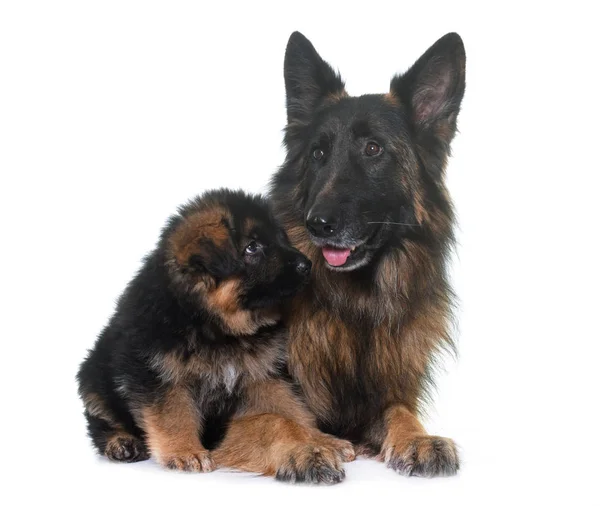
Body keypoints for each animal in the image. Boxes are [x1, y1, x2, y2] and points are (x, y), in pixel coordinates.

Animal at [77, 190, 354, 482]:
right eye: (252, 247)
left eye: (281, 238)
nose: (307, 265)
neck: (215, 326)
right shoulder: (156, 375)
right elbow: (173, 414)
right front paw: (185, 451)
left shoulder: (262, 375)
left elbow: (291, 409)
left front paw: (321, 440)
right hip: (93, 379)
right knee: (101, 422)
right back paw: (121, 442)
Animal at [270, 32, 466, 478]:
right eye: (318, 154)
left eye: (373, 149)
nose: (317, 224)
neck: (356, 302)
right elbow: (276, 416)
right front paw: (304, 446)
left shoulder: (385, 395)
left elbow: (400, 412)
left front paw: (418, 439)